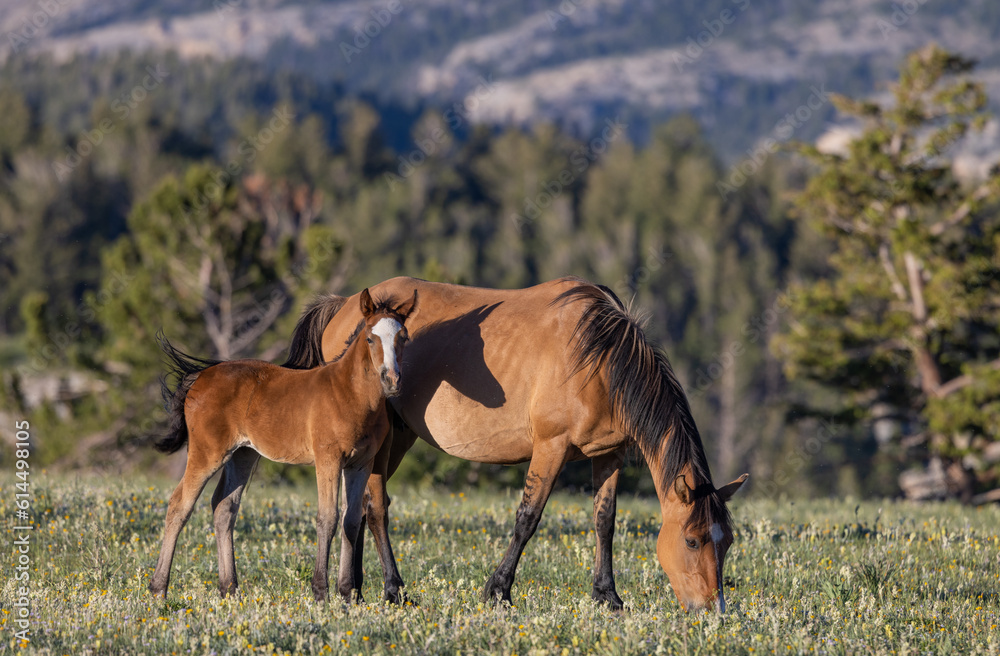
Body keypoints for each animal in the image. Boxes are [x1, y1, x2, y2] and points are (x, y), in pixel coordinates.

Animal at [149, 288, 418, 603]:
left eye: (403, 337)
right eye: (370, 338)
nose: (392, 380)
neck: (349, 393)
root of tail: (201, 377)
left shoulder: (361, 463)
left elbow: (350, 520)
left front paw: (347, 592)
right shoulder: (328, 459)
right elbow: (328, 518)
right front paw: (321, 591)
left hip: (243, 454)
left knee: (225, 507)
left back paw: (230, 588)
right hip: (208, 453)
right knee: (179, 505)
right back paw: (158, 589)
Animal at [283, 276, 748, 611]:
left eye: (726, 541)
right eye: (692, 541)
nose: (714, 610)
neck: (597, 356)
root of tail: (344, 305)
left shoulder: (609, 455)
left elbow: (605, 521)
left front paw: (608, 596)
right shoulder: (550, 447)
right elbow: (528, 517)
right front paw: (498, 590)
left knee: (359, 505)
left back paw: (359, 590)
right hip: (387, 438)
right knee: (375, 506)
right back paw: (394, 589)